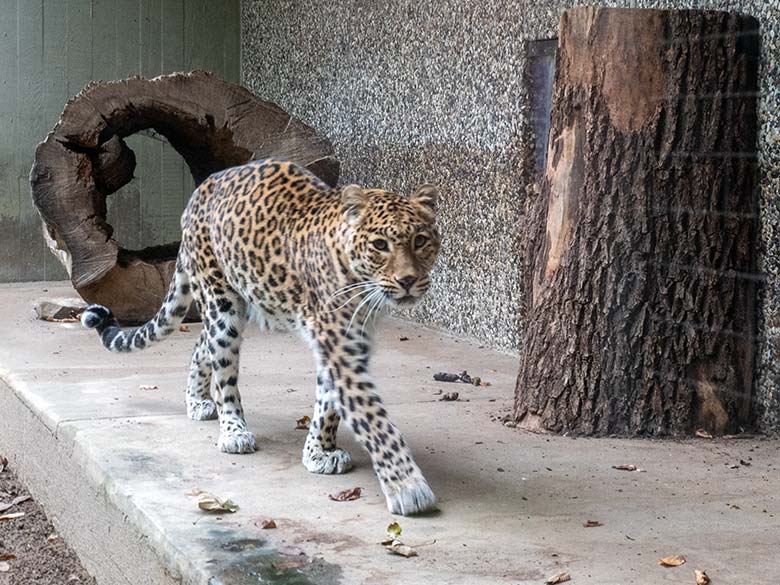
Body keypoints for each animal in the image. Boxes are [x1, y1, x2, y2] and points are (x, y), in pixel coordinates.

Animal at [84, 157, 444, 512]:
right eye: (380, 245)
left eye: (420, 241)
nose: (408, 280)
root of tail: (201, 189)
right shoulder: (339, 347)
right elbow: (373, 418)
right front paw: (408, 488)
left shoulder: (346, 342)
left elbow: (328, 404)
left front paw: (319, 452)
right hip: (221, 300)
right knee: (223, 371)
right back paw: (233, 432)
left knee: (202, 345)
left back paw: (197, 400)